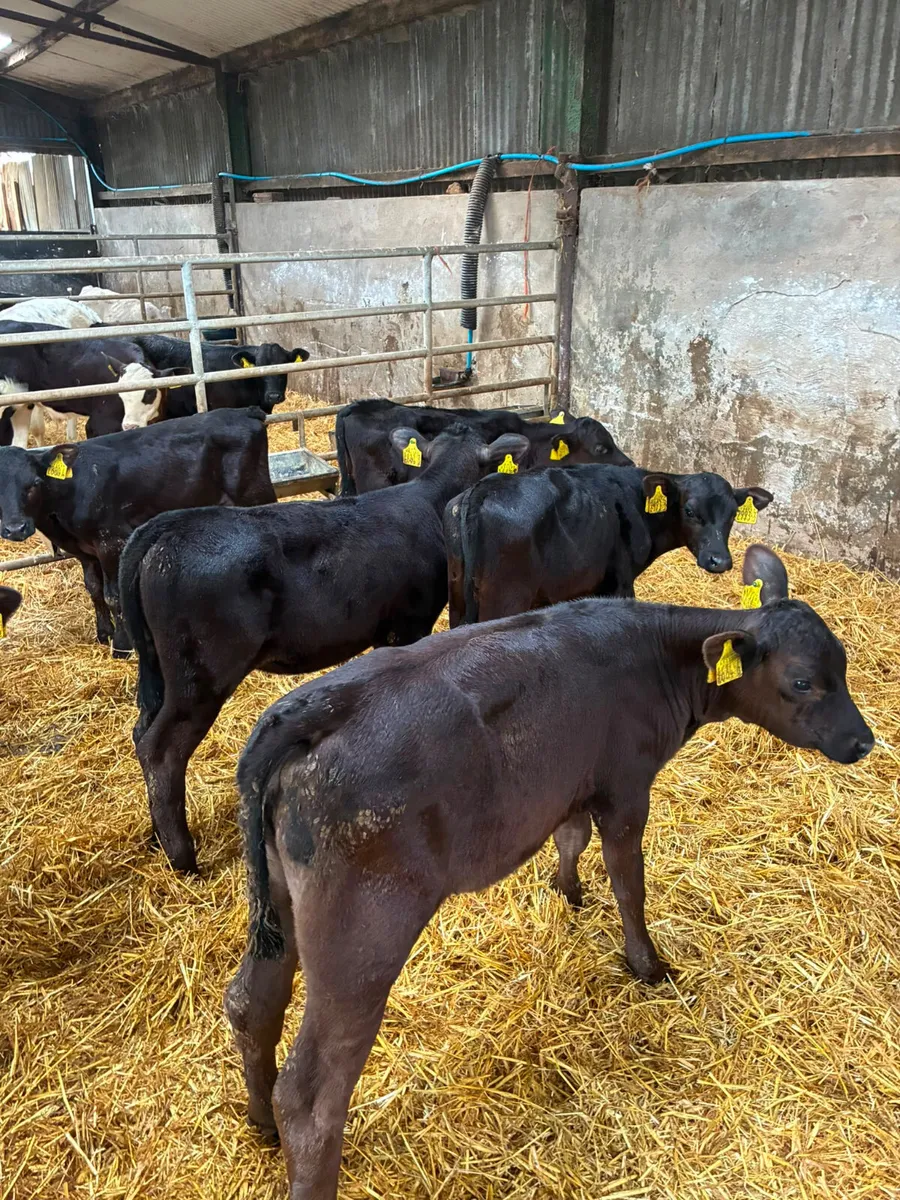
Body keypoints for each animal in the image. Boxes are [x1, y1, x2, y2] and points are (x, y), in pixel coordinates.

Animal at [0, 407, 275, 656]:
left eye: (35, 484)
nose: (15, 528)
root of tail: (243, 412)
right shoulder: (84, 551)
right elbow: (94, 589)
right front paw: (104, 633)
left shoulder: (111, 542)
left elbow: (113, 596)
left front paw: (122, 645)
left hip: (257, 495)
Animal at [118, 423, 532, 874]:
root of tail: (168, 526)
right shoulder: (410, 622)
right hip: (201, 674)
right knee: (161, 750)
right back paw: (184, 859)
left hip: (160, 670)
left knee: (142, 732)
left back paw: (157, 840)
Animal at [225, 545, 874, 1197]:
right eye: (802, 681)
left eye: (843, 664)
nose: (864, 741)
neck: (660, 656)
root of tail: (311, 709)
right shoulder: (625, 787)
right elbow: (628, 881)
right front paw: (648, 965)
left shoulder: (572, 781)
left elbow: (571, 836)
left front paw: (568, 890)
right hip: (361, 934)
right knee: (310, 1098)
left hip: (281, 898)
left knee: (251, 1003)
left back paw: (260, 1123)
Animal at [445, 464, 775, 625]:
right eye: (690, 511)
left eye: (732, 515)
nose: (720, 561)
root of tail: (481, 489)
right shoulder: (620, 582)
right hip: (506, 598)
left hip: (458, 598)